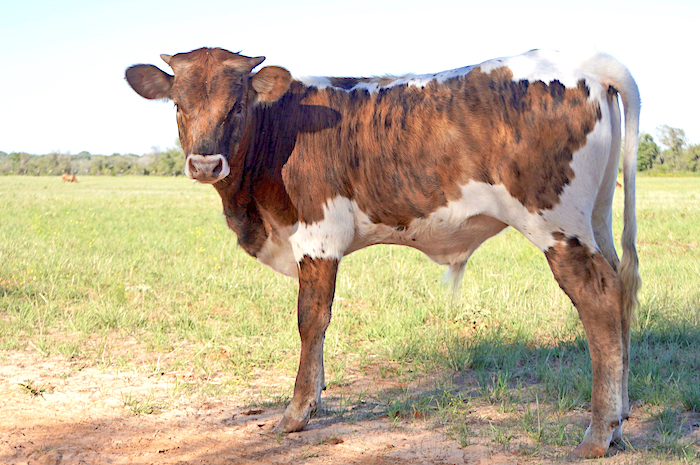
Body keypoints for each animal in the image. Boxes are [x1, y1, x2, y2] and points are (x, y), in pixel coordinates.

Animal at [126, 48, 640, 456]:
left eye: (237, 105)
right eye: (178, 104)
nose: (205, 163)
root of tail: (582, 61)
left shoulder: (317, 237)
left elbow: (311, 320)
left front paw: (297, 412)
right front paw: (317, 395)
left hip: (556, 224)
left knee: (597, 300)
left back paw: (598, 434)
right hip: (595, 218)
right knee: (618, 292)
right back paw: (618, 422)